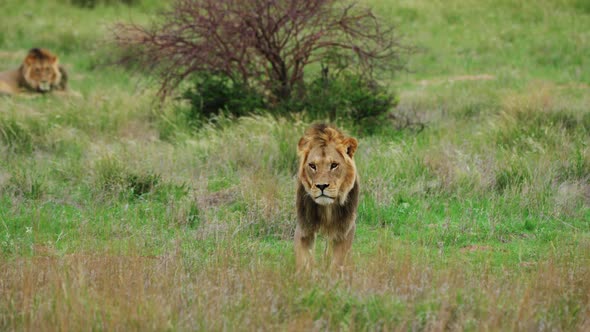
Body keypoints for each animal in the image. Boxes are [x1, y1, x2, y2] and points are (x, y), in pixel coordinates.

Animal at [296, 123, 360, 274]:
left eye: (334, 165)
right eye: (312, 166)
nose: (321, 186)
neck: (327, 208)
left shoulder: (345, 230)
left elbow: (337, 261)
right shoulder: (304, 228)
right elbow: (303, 259)